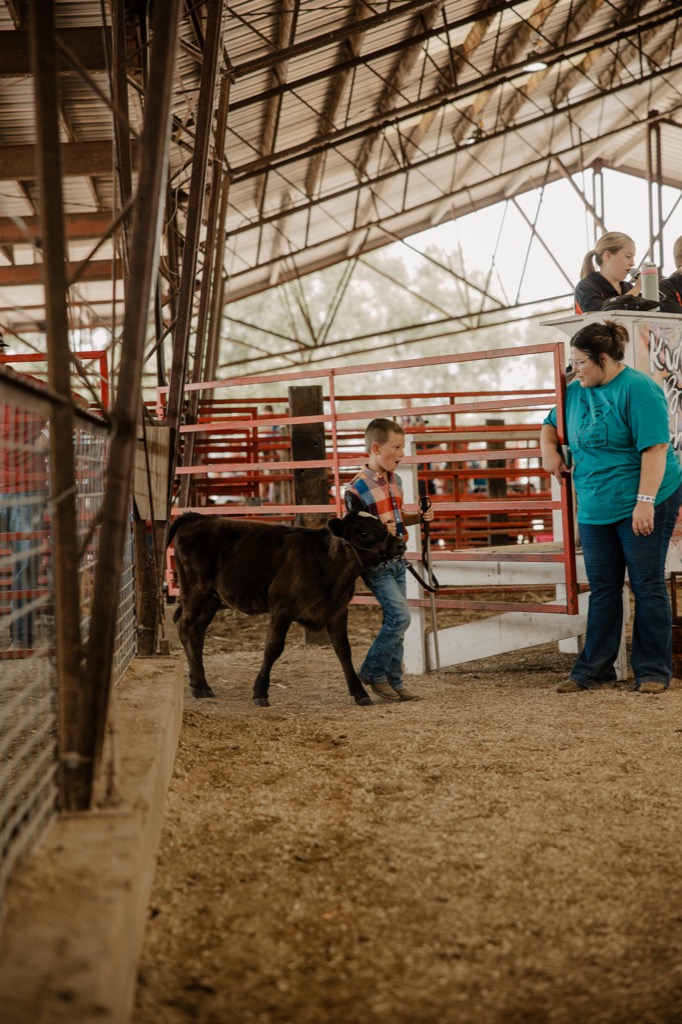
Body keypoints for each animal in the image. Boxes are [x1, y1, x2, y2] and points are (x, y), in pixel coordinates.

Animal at [167, 507, 405, 707]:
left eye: (381, 525)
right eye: (364, 531)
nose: (400, 545)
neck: (327, 562)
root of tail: (197, 517)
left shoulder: (338, 609)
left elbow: (343, 650)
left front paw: (359, 693)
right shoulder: (282, 609)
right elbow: (273, 648)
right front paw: (260, 692)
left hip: (212, 598)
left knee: (196, 630)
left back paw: (200, 683)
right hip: (196, 590)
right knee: (185, 626)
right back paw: (200, 686)